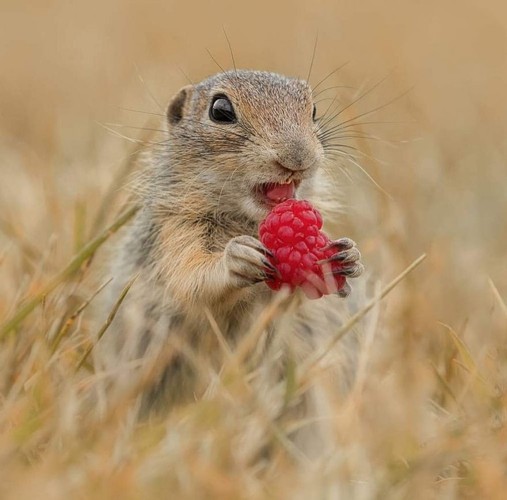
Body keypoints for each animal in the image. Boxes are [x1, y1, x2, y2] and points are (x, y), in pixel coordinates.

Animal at [102, 68, 366, 408]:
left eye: (314, 110)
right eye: (220, 110)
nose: (299, 157)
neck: (248, 221)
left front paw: (349, 256)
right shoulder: (173, 232)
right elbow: (188, 277)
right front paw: (236, 258)